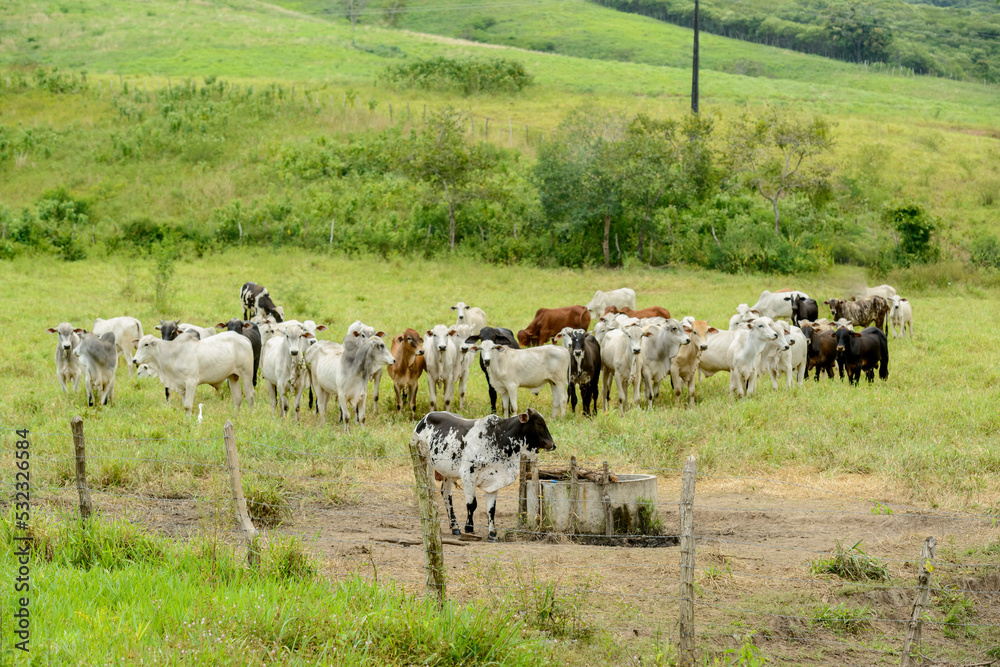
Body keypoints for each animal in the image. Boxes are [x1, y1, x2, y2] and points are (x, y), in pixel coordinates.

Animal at [412, 408, 555, 542]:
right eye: (539, 423)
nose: (552, 445)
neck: (499, 437)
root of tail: (425, 418)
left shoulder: (495, 480)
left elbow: (491, 509)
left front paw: (492, 533)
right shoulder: (467, 475)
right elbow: (472, 504)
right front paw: (469, 528)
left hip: (448, 472)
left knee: (446, 494)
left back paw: (454, 527)